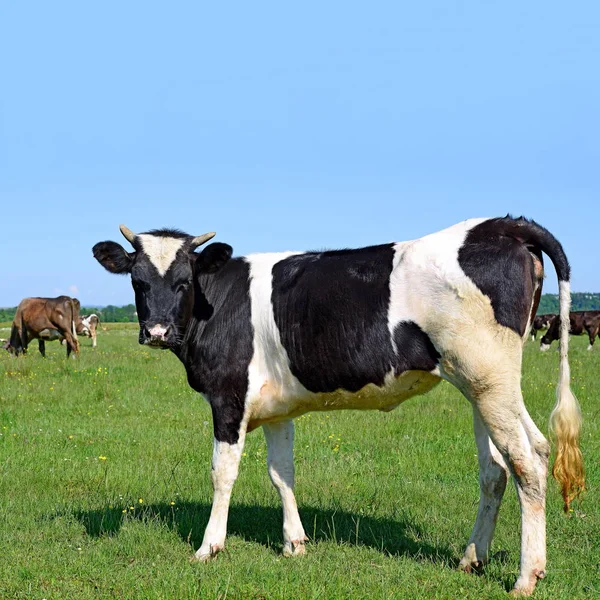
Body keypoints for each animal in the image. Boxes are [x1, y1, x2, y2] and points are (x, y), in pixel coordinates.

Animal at [91, 217, 584, 596]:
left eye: (184, 281)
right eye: (137, 281)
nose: (157, 331)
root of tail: (503, 224)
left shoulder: (228, 398)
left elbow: (222, 472)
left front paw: (209, 547)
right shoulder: (277, 408)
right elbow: (281, 473)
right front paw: (294, 543)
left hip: (489, 379)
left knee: (528, 462)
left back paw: (526, 576)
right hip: (481, 386)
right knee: (502, 467)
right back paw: (472, 558)